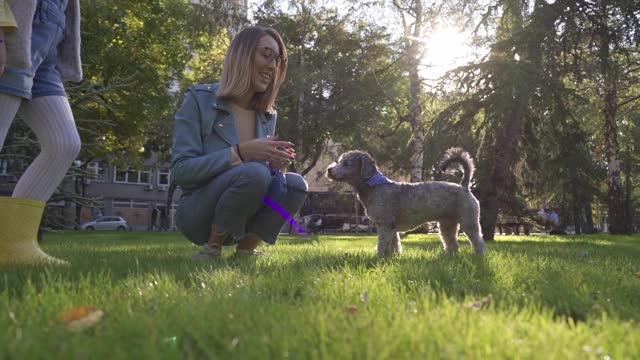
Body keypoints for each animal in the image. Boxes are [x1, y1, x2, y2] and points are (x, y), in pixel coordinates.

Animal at [324, 148, 484, 258]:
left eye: (346, 163)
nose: (329, 170)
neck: (373, 186)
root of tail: (464, 187)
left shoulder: (385, 224)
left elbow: (382, 244)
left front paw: (379, 257)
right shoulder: (391, 227)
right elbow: (394, 244)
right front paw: (392, 258)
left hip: (468, 221)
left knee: (478, 241)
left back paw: (479, 257)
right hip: (447, 225)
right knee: (452, 244)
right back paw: (450, 258)